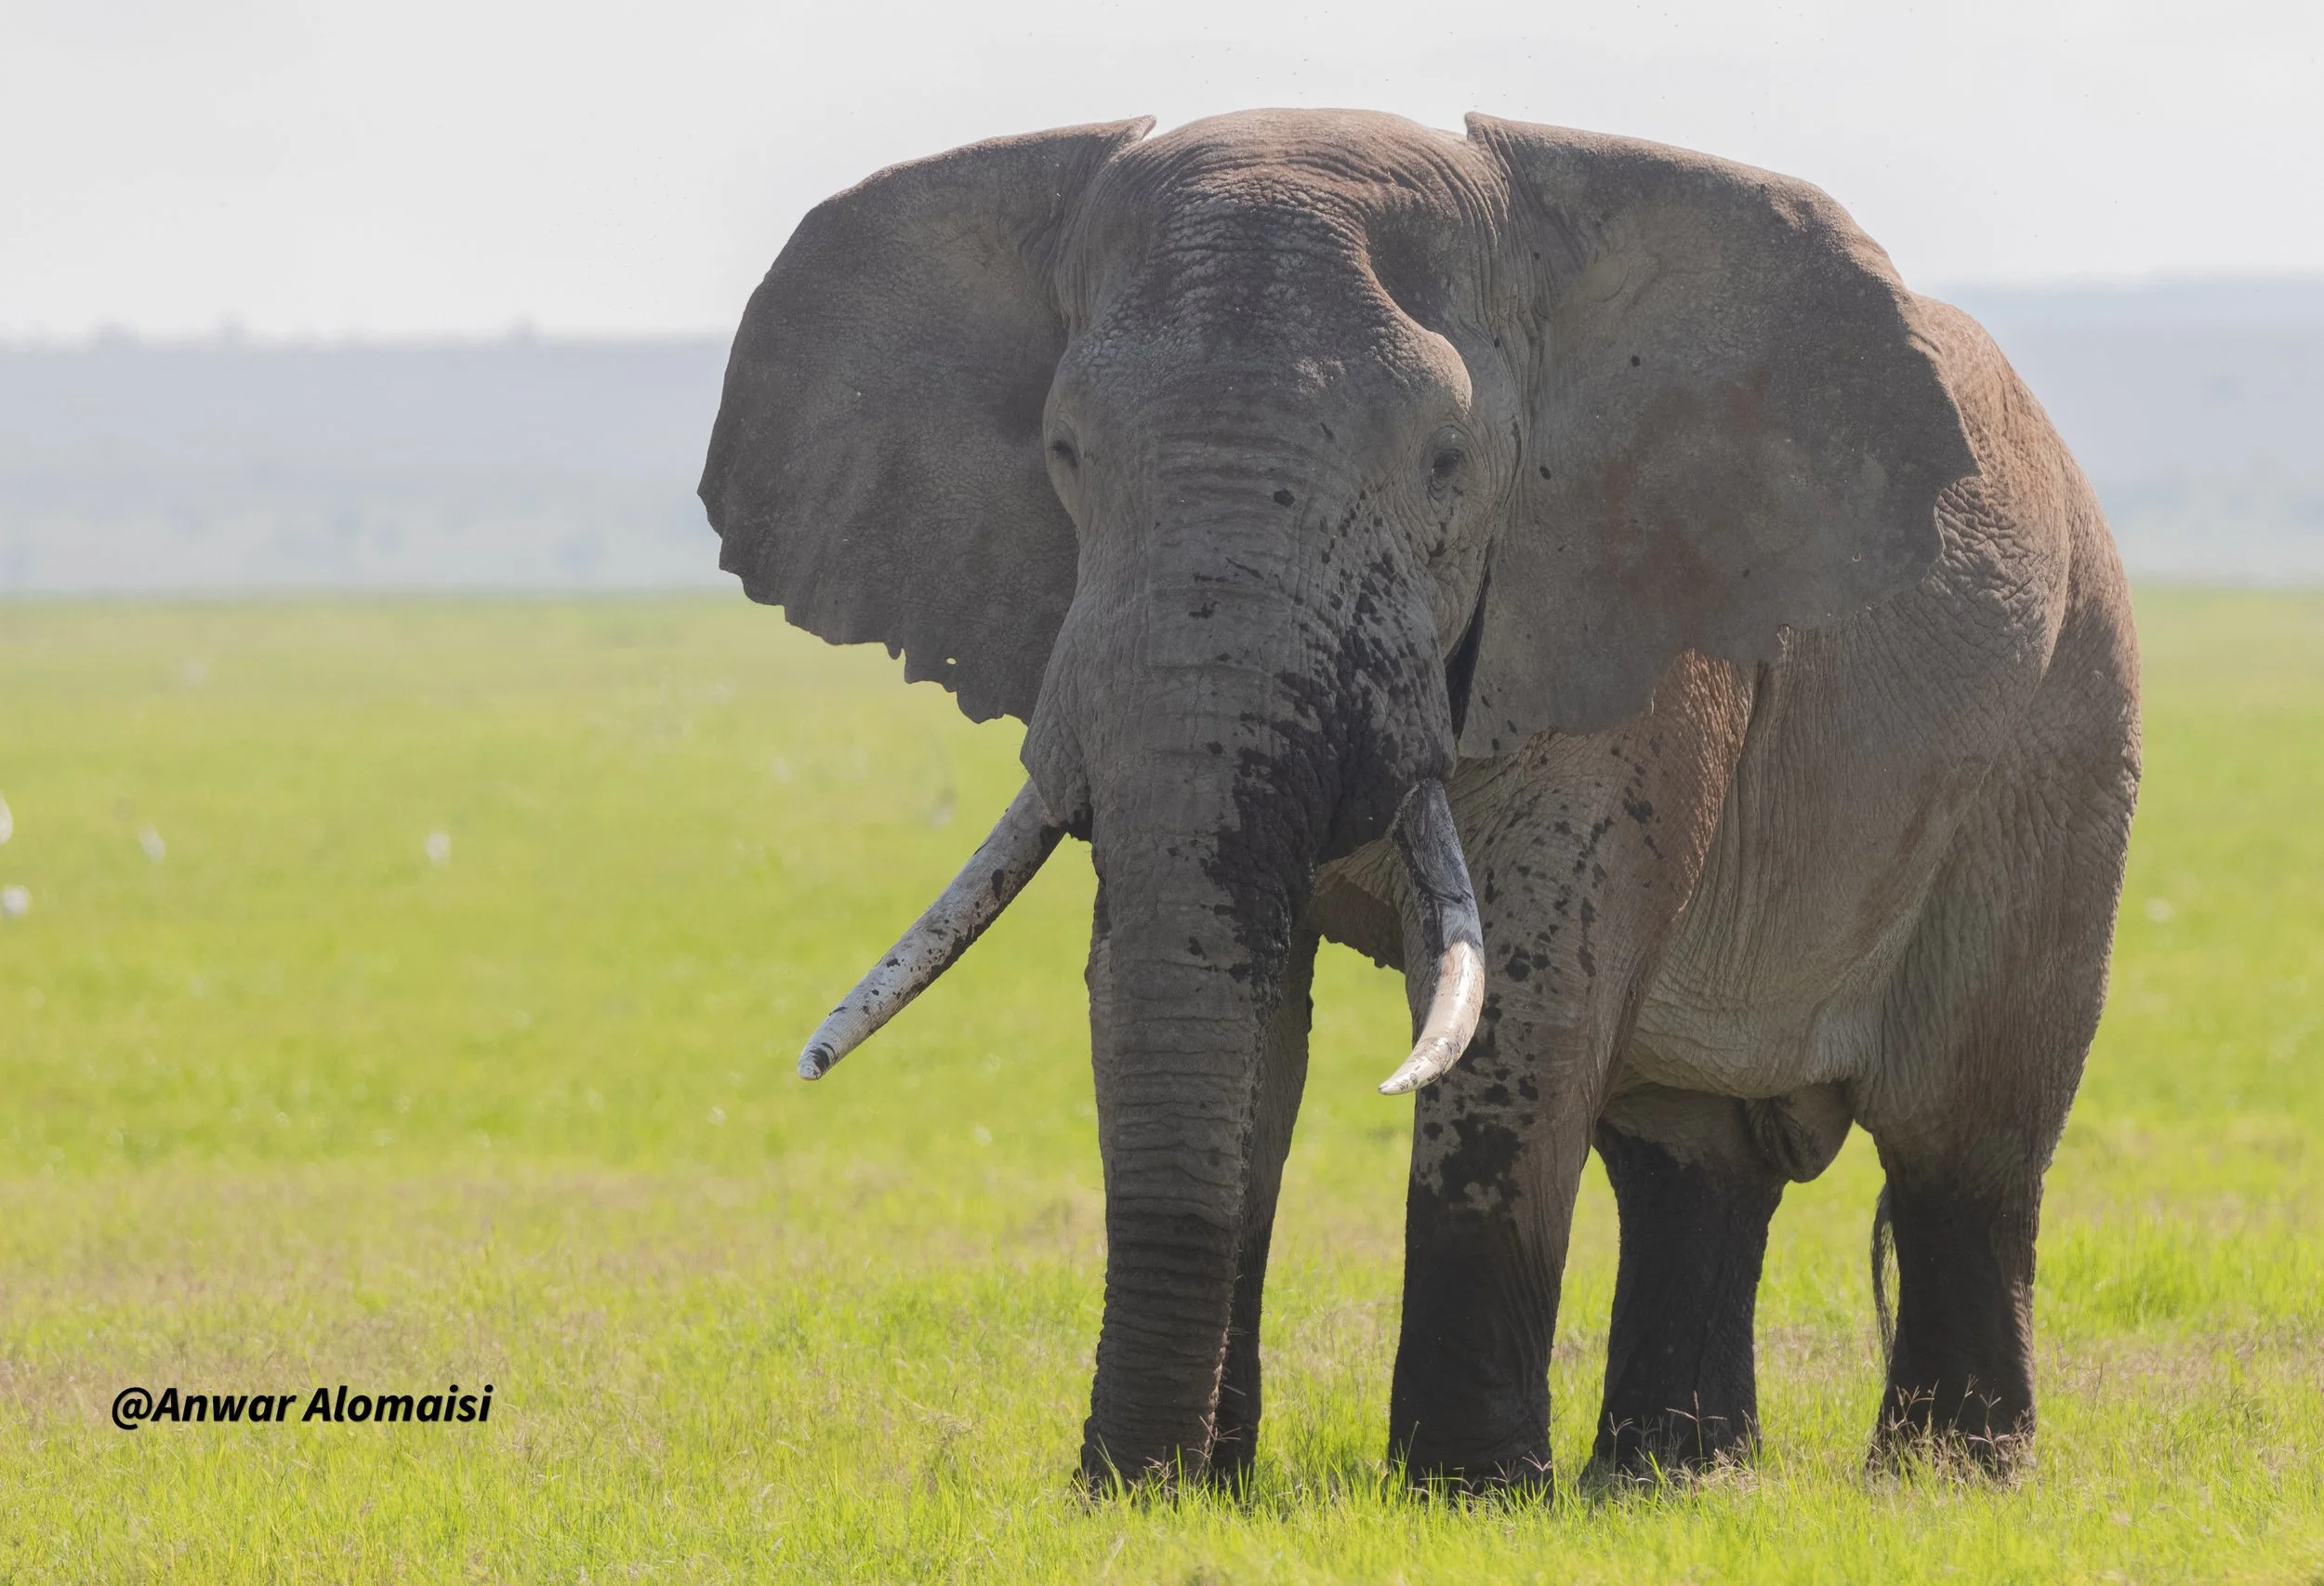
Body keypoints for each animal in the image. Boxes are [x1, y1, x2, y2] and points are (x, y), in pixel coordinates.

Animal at [700, 109, 2141, 1491]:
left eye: (1448, 461)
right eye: (1064, 451)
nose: (1110, 1481)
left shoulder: (1624, 615)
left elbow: (1522, 1013)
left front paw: (1468, 1493)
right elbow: (1235, 999)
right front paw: (1202, 1492)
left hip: (2063, 715)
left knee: (1964, 1140)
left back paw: (1945, 1481)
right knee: (1685, 1158)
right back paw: (1670, 1479)